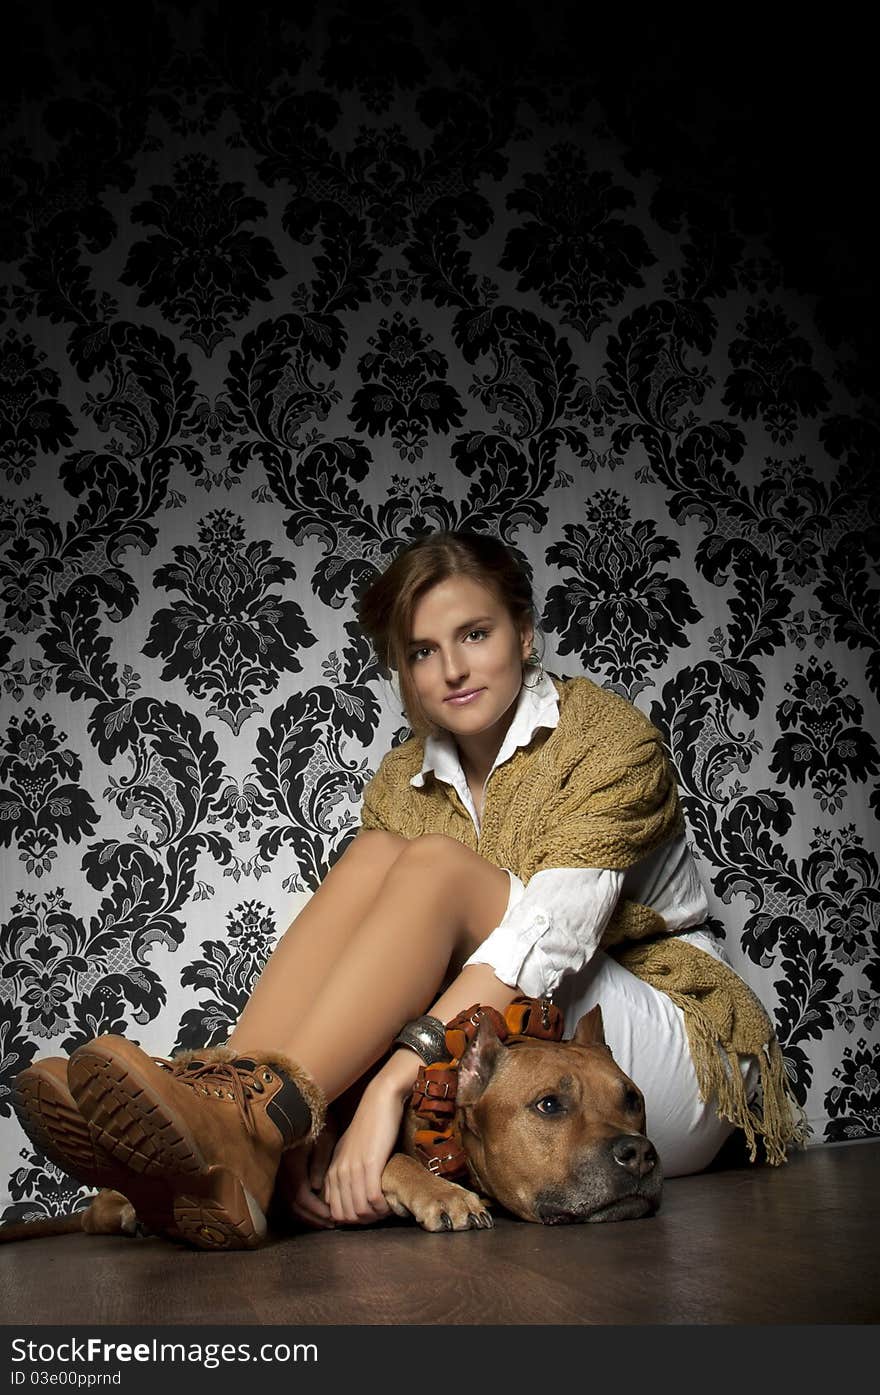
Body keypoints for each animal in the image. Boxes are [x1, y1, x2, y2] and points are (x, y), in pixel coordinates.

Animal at [1, 1004, 661, 1244]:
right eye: (550, 1105)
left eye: (634, 1100)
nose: (639, 1153)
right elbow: (397, 1160)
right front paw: (444, 1195)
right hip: (113, 1196)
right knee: (101, 1209)